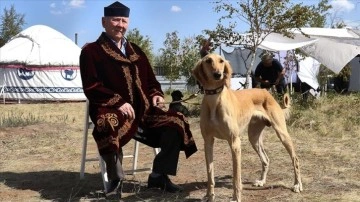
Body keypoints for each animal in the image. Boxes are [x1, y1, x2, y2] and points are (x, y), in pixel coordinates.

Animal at [193, 53, 302, 202]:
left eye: (221, 61)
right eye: (208, 61)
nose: (218, 74)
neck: (215, 99)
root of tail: (266, 92)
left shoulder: (235, 143)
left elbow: (236, 177)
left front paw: (236, 197)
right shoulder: (208, 142)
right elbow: (210, 174)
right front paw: (210, 196)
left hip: (282, 133)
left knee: (295, 159)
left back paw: (297, 184)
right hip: (254, 137)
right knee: (266, 159)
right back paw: (261, 181)